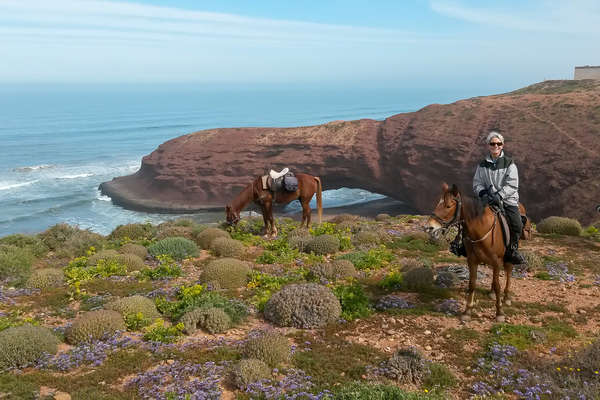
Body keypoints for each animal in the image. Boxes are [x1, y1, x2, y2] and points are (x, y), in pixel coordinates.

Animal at [424, 183, 528, 324]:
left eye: (448, 206)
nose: (428, 227)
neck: (481, 229)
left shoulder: (496, 260)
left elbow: (498, 285)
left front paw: (499, 313)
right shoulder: (472, 260)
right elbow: (472, 284)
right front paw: (467, 311)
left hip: (508, 256)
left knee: (508, 272)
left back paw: (506, 297)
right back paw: (491, 293)